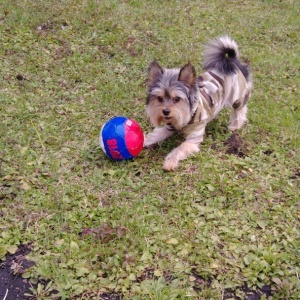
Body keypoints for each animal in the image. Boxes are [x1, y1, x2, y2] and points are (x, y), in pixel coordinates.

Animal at [144, 36, 252, 171]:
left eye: (177, 99)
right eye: (159, 98)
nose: (166, 111)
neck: (189, 113)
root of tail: (231, 61)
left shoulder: (193, 138)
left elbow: (180, 148)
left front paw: (170, 162)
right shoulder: (168, 127)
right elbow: (154, 135)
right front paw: (142, 141)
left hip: (238, 96)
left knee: (240, 109)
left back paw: (235, 125)